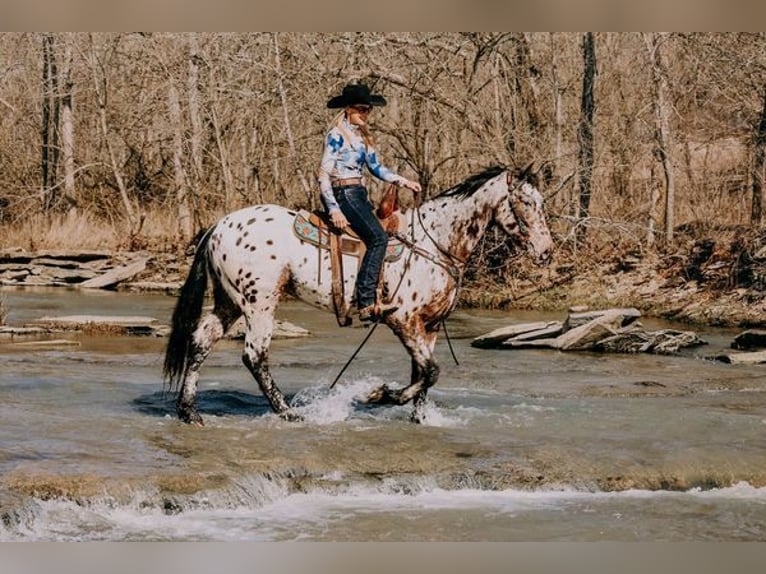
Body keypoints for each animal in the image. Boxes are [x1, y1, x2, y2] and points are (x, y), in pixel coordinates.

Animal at [165, 164, 556, 426]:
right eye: (525, 202)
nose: (547, 251)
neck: (435, 242)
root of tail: (219, 225)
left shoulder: (429, 326)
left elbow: (424, 372)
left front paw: (418, 417)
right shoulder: (403, 319)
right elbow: (429, 371)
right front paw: (382, 395)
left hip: (230, 301)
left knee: (201, 341)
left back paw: (190, 412)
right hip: (259, 303)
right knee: (254, 355)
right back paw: (288, 412)